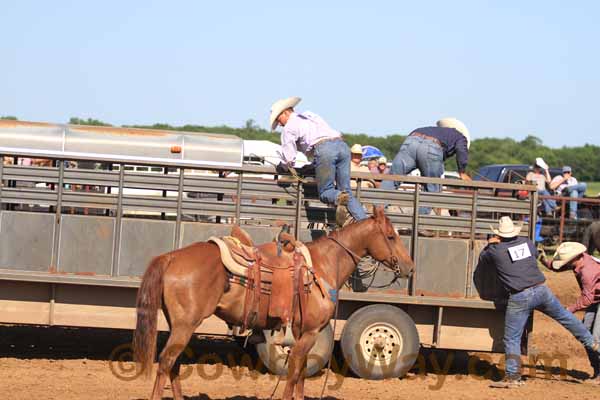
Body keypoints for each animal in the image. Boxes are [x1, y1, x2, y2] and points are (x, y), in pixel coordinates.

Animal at [132, 206, 412, 400]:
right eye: (390, 236)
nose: (409, 267)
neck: (323, 265)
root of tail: (170, 257)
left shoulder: (304, 332)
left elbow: (301, 374)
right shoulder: (309, 332)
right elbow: (294, 373)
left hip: (178, 325)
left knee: (174, 363)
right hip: (185, 325)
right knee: (166, 362)